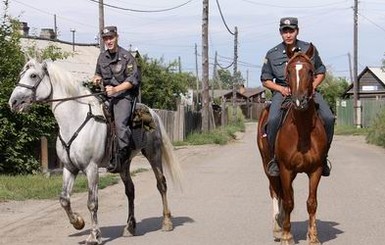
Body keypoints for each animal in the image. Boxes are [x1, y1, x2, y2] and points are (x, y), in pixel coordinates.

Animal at [8, 59, 182, 245]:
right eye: (21, 74)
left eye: (33, 75)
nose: (13, 102)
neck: (74, 120)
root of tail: (153, 113)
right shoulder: (69, 168)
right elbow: (64, 199)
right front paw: (78, 222)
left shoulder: (91, 168)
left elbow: (92, 203)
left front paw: (94, 236)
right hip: (124, 164)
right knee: (130, 190)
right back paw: (129, 227)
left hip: (153, 154)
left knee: (161, 184)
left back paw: (167, 222)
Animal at [256, 43, 326, 244]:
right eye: (288, 71)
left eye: (310, 71)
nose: (299, 101)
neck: (302, 131)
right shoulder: (285, 169)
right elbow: (288, 201)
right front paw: (287, 235)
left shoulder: (315, 170)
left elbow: (311, 202)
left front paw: (313, 236)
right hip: (269, 166)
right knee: (275, 191)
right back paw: (278, 228)